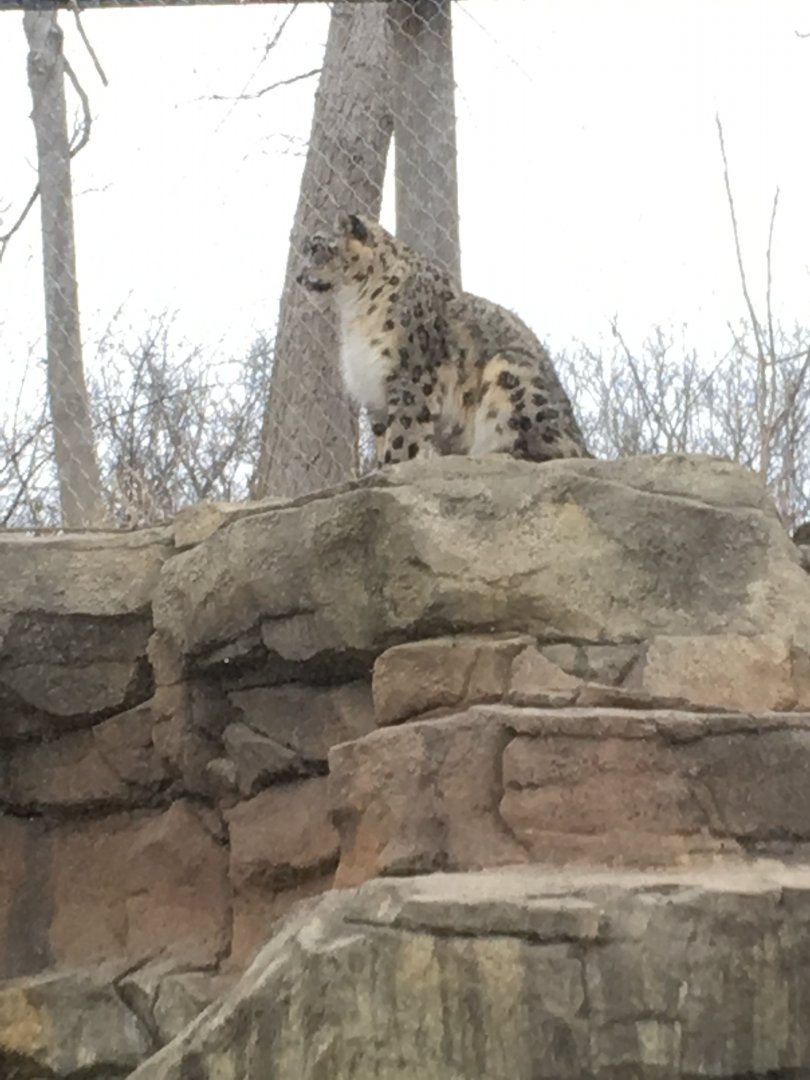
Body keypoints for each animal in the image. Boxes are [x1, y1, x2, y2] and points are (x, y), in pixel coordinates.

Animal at [296, 212, 591, 468]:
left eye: (316, 248)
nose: (298, 278)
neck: (352, 311)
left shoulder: (411, 376)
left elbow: (403, 433)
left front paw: (392, 466)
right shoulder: (373, 389)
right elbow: (383, 436)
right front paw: (380, 467)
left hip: (509, 370)